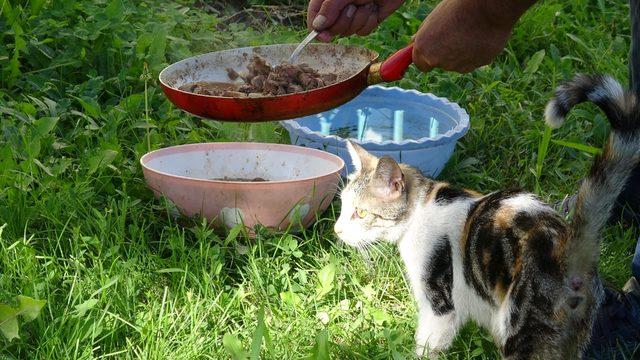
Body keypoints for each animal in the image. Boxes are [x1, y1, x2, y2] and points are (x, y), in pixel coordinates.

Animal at [336, 74, 640, 360]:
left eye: (361, 212)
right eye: (342, 205)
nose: (337, 230)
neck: (421, 208)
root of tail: (570, 245)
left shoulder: (440, 304)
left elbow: (428, 344)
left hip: (524, 329)